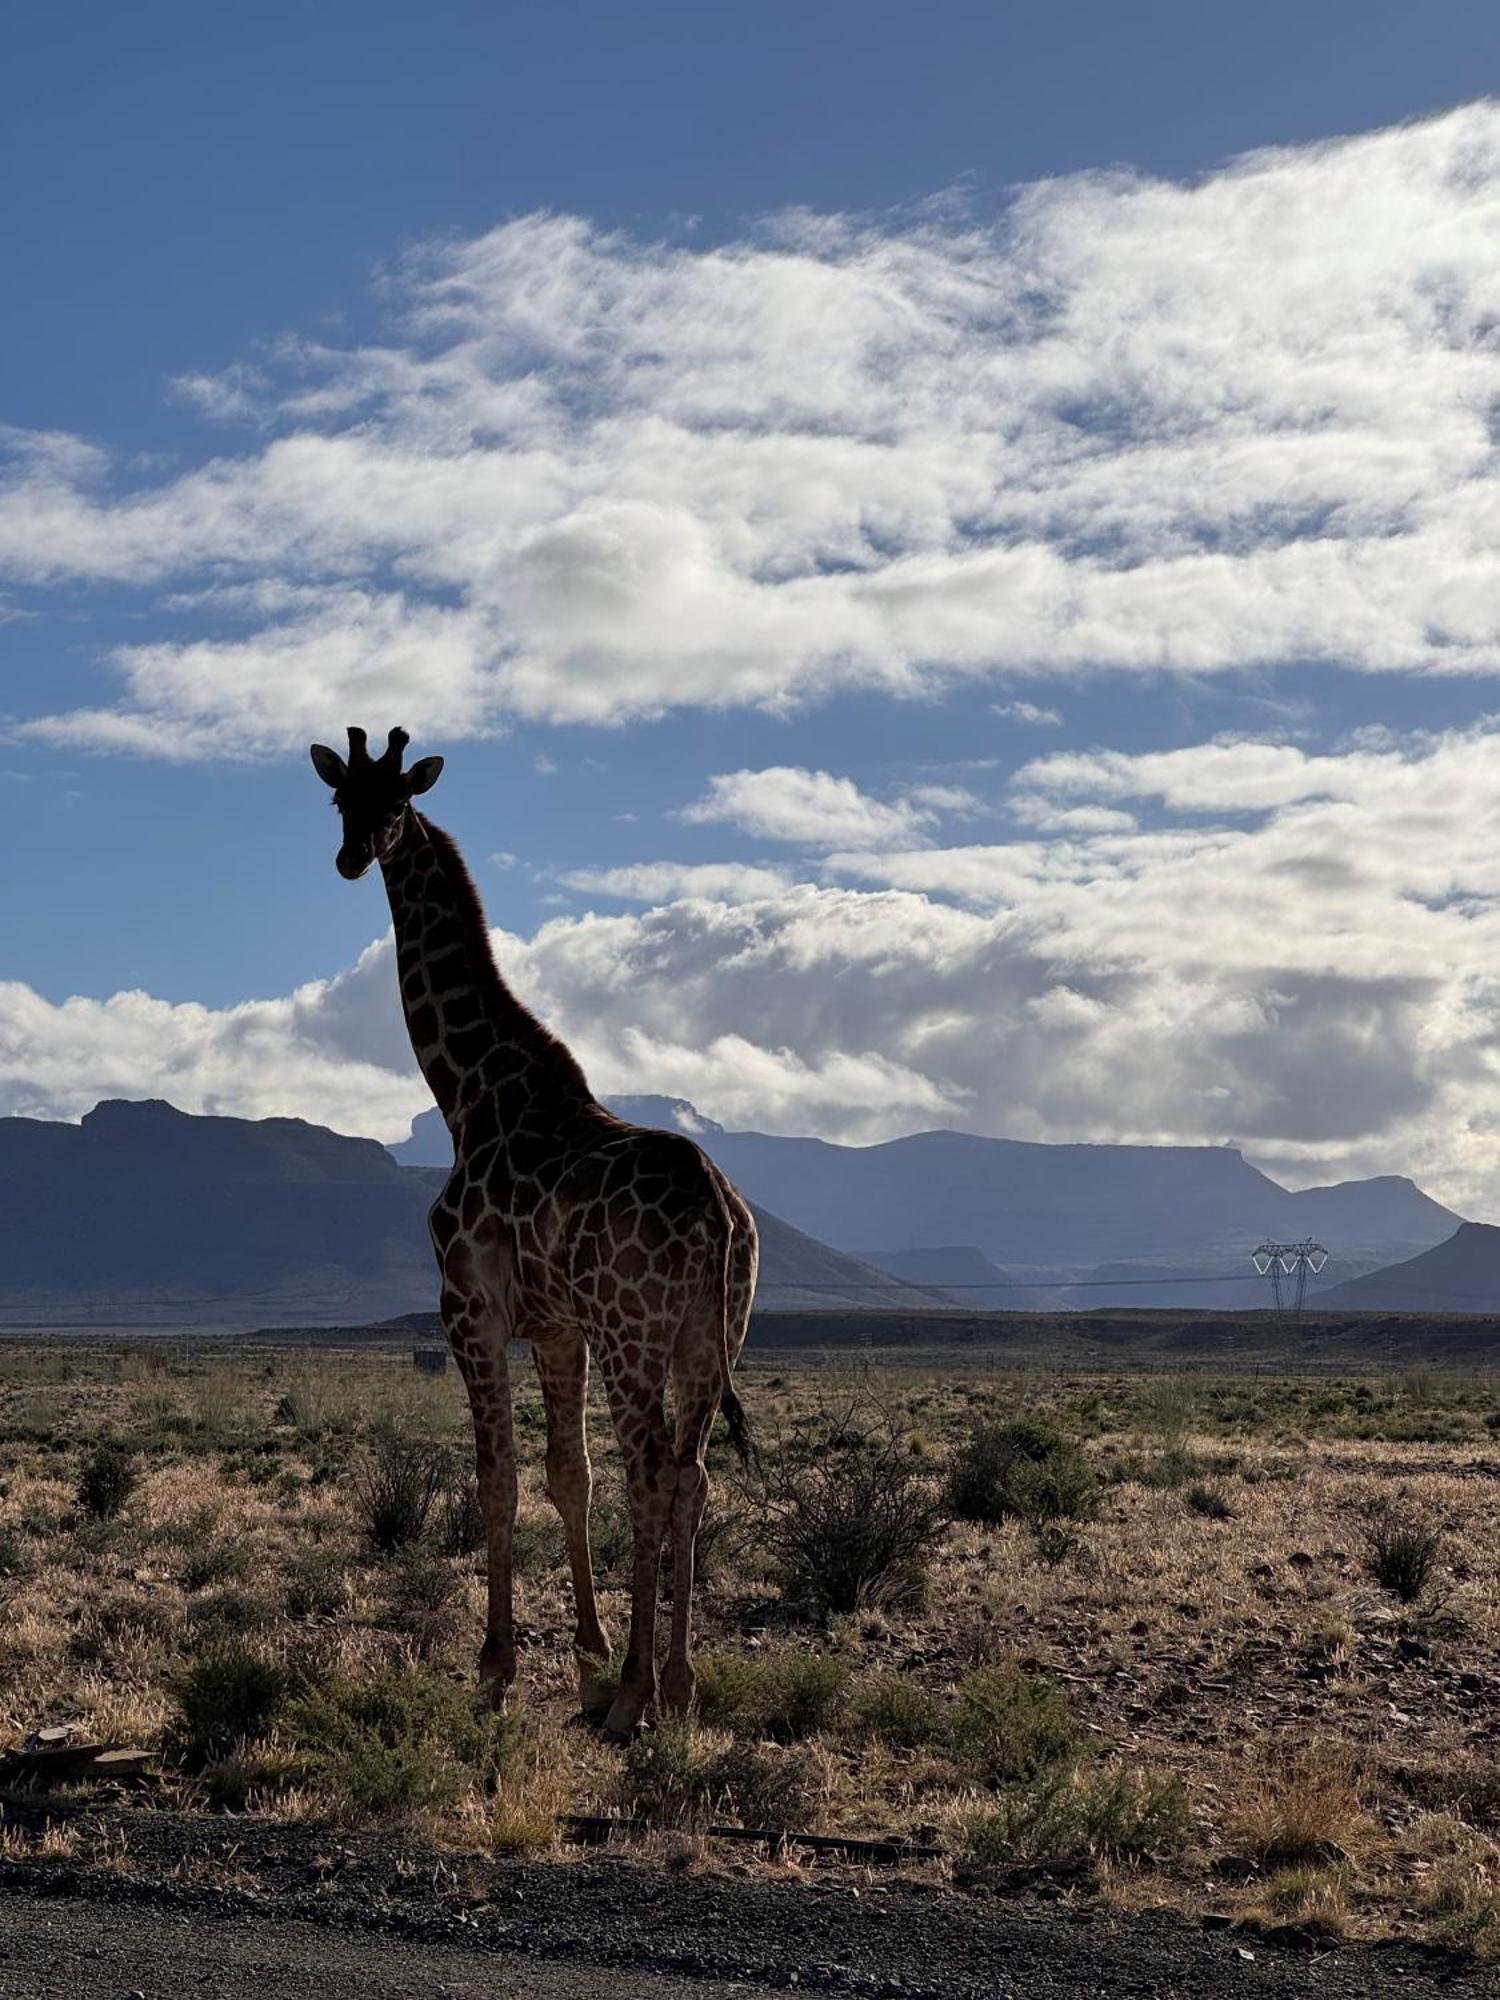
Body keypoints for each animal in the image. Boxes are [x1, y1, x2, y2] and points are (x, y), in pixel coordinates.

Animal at [316, 724, 764, 1736]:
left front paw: (498, 1666)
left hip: (637, 1332)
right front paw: (589, 1653)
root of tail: (722, 1214)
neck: (467, 1090)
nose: (353, 857)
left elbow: (498, 1477)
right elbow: (568, 1474)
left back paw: (640, 1693)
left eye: (397, 799)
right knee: (691, 1475)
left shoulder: (469, 1309)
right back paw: (678, 1682)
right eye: (338, 800)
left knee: (654, 1474)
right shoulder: (559, 1329)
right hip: (708, 1338)